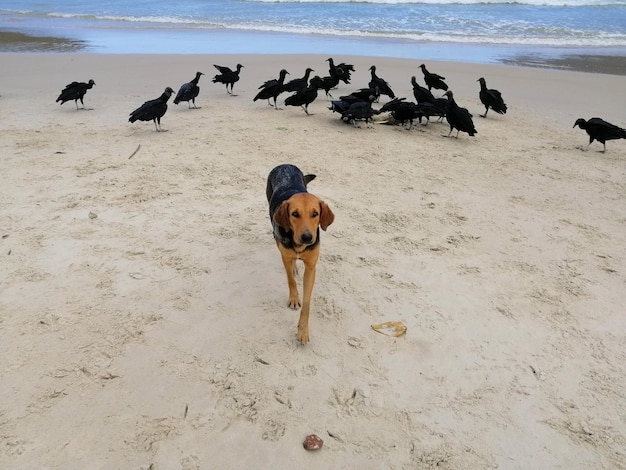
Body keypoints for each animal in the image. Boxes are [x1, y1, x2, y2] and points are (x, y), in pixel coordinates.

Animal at [268, 163, 336, 344]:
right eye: (295, 214)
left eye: (315, 214)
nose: (307, 238)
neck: (299, 246)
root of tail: (285, 165)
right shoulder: (285, 255)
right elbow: (291, 280)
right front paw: (293, 298)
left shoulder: (311, 267)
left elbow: (307, 303)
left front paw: (303, 331)